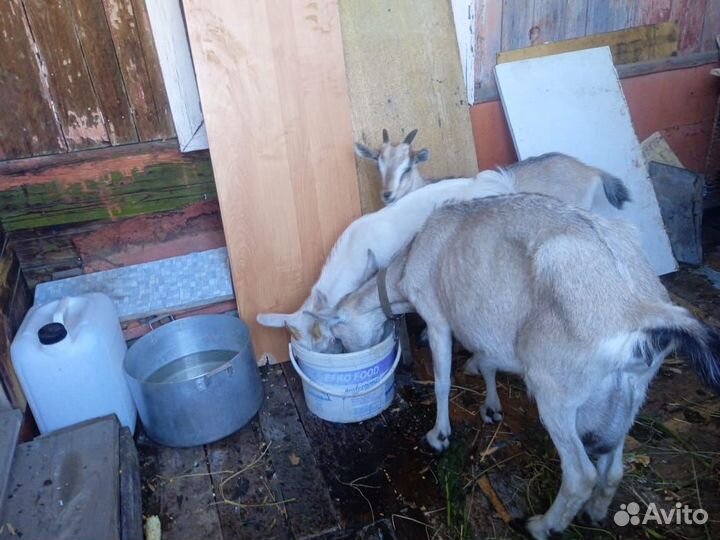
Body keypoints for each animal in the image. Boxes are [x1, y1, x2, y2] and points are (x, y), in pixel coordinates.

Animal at [312, 193, 720, 539]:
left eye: (339, 335)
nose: (341, 351)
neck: (406, 264)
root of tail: (640, 312)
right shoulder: (485, 320)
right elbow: (489, 361)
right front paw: (491, 407)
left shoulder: (438, 317)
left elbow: (442, 380)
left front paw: (439, 435)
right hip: (629, 394)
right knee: (613, 462)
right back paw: (596, 512)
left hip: (556, 391)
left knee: (580, 474)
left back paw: (542, 525)